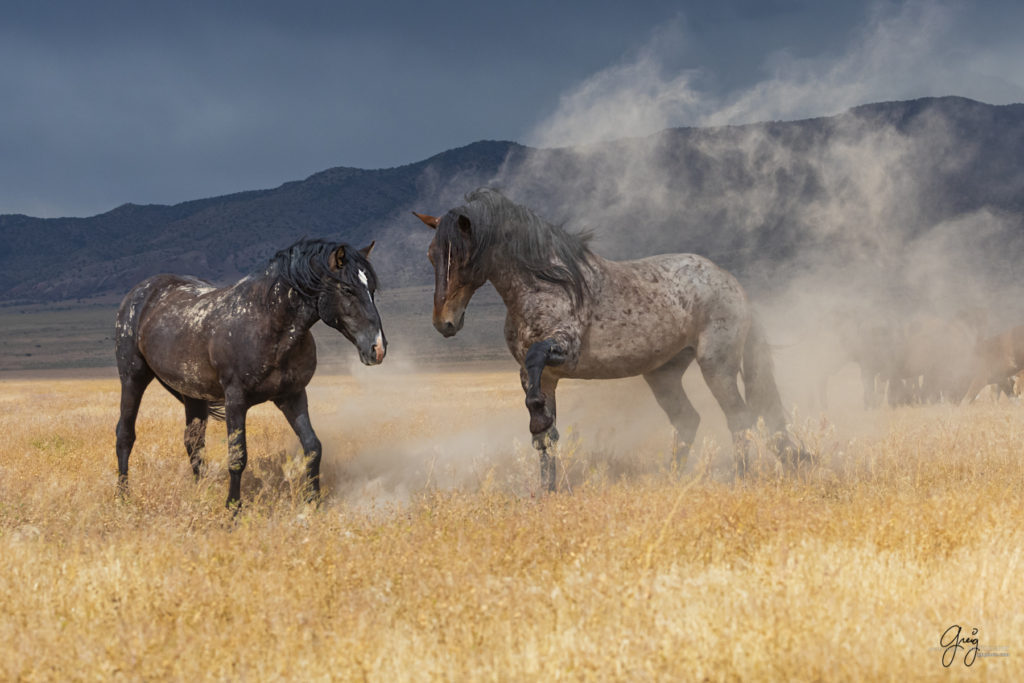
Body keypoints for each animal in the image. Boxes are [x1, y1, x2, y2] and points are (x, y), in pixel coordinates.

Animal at [113, 239, 385, 507]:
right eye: (347, 289)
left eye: (372, 289)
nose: (378, 348)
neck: (267, 324)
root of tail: (141, 291)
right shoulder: (235, 400)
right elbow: (237, 456)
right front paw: (233, 508)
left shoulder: (293, 396)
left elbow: (313, 447)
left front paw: (313, 503)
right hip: (133, 377)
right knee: (125, 434)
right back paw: (123, 497)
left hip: (193, 393)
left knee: (194, 442)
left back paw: (200, 493)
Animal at [411, 185, 802, 491]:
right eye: (430, 255)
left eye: (464, 257)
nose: (445, 323)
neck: (543, 282)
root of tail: (734, 285)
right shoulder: (540, 376)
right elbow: (545, 435)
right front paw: (547, 491)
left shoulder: (562, 350)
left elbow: (539, 395)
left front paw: (538, 422)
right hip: (663, 374)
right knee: (688, 420)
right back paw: (672, 480)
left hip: (716, 365)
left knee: (740, 417)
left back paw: (742, 479)